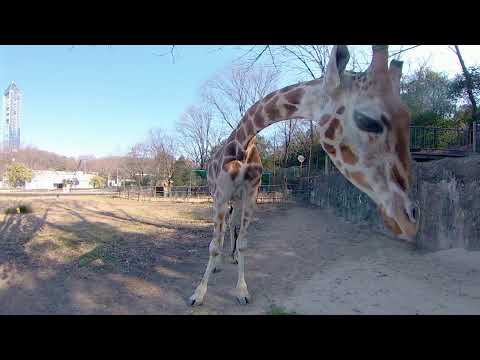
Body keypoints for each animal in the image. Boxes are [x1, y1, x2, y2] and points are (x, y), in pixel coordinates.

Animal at [189, 43, 418, 306]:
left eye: (408, 117)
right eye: (367, 120)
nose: (409, 220)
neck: (243, 146)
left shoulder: (251, 193)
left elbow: (244, 241)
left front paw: (242, 290)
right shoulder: (220, 194)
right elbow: (213, 245)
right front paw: (198, 293)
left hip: (236, 199)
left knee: (232, 225)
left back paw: (233, 257)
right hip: (219, 195)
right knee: (225, 226)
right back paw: (217, 265)